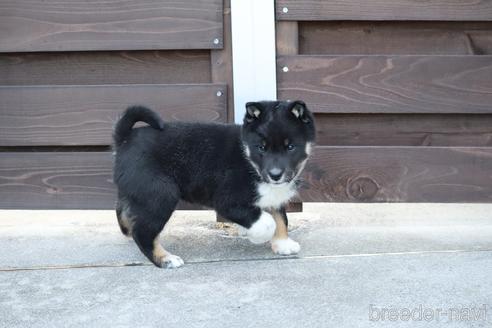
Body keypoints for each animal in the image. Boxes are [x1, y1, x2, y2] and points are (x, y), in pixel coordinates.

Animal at [112, 101, 316, 268]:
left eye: (290, 147)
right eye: (261, 148)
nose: (275, 175)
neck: (249, 160)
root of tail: (124, 138)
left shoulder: (272, 193)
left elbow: (281, 217)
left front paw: (283, 243)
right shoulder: (227, 201)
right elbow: (266, 222)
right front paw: (258, 236)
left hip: (142, 191)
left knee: (124, 212)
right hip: (161, 195)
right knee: (143, 233)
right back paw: (165, 259)